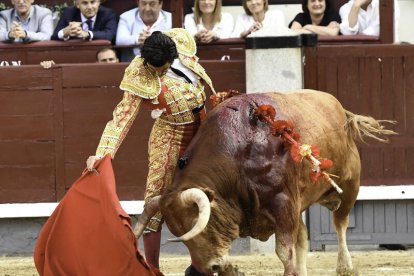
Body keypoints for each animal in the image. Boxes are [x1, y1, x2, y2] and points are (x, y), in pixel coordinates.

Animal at [133, 89, 394, 274]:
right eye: (178, 232)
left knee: (340, 223)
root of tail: (340, 109)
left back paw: (345, 267)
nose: (210, 268)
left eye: (198, 224)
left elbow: (284, 251)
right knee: (304, 235)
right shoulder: (287, 206)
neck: (238, 155)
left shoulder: (283, 203)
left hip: (350, 184)